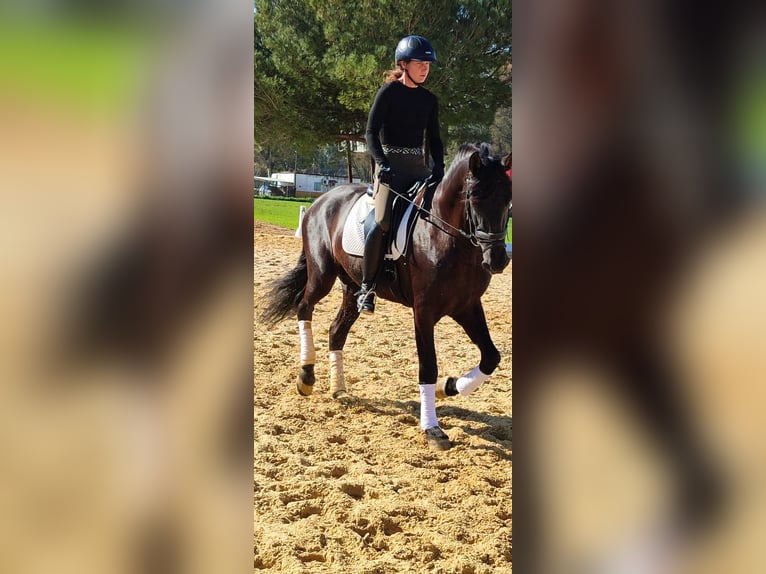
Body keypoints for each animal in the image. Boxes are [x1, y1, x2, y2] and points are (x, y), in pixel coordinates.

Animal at [259, 142, 512, 451]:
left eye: (508, 197)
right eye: (475, 196)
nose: (498, 260)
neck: (447, 237)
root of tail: (322, 200)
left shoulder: (467, 306)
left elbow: (491, 357)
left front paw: (448, 387)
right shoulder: (423, 311)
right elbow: (428, 366)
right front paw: (432, 429)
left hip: (352, 286)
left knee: (336, 330)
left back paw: (339, 388)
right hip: (321, 275)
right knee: (304, 307)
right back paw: (306, 376)